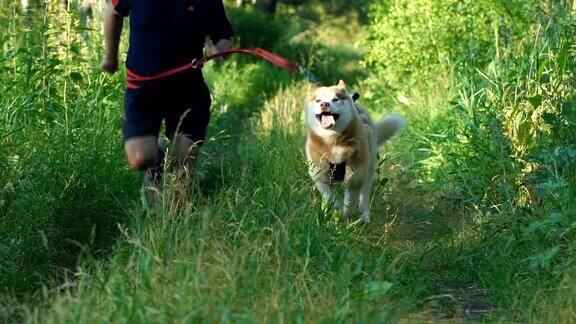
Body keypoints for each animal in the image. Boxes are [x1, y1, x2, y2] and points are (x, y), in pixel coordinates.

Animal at [306, 79, 404, 224]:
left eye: (335, 99)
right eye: (318, 100)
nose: (324, 104)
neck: (333, 141)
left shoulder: (355, 176)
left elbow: (350, 202)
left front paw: (345, 218)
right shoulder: (320, 176)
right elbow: (330, 197)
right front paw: (335, 210)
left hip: (368, 169)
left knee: (364, 196)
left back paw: (364, 217)